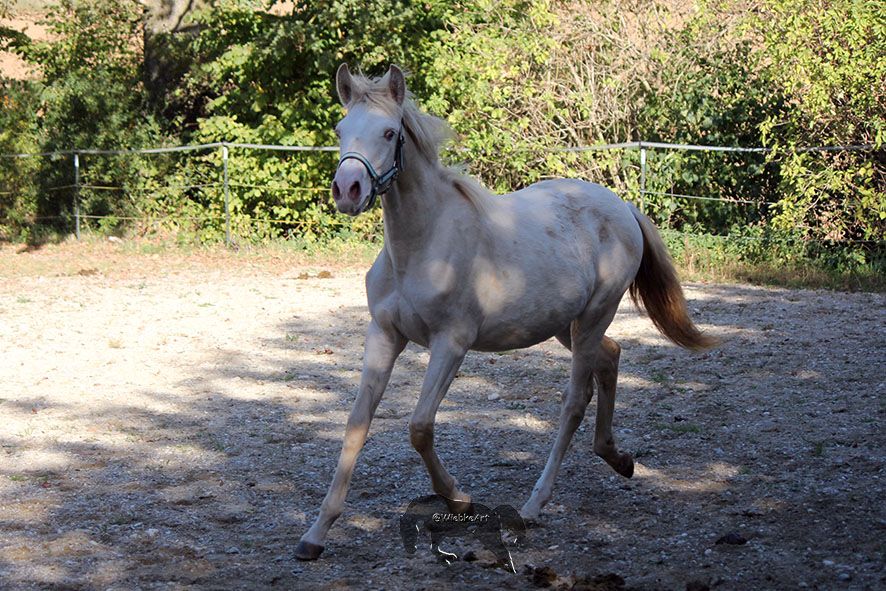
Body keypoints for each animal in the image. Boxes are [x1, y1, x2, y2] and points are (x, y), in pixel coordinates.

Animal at [294, 65, 720, 560]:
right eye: (341, 130)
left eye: (389, 132)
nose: (348, 190)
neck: (421, 245)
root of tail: (623, 207)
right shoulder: (383, 335)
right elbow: (356, 424)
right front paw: (315, 534)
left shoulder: (451, 343)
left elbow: (419, 427)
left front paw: (458, 499)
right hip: (567, 325)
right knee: (611, 357)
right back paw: (619, 459)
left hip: (595, 315)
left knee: (575, 400)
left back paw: (536, 504)